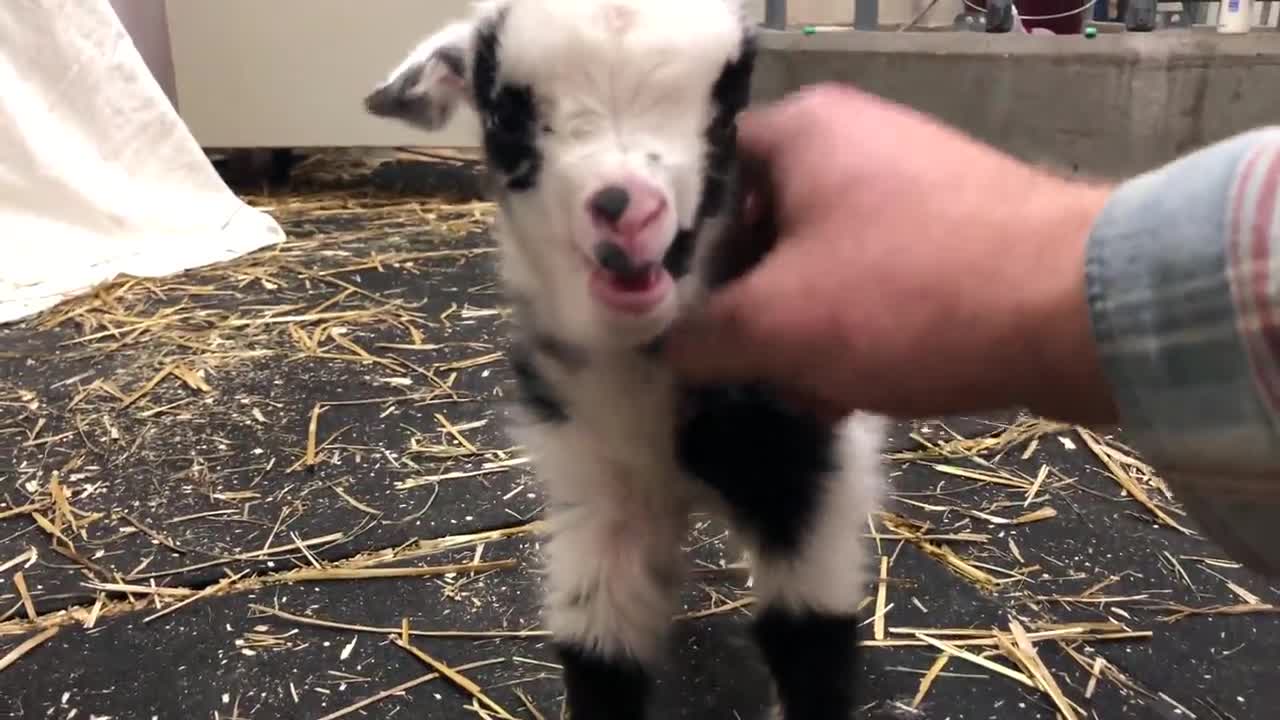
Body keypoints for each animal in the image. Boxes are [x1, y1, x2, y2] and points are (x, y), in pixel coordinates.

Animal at [366, 2, 885, 712]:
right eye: (503, 116)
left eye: (728, 106)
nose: (626, 212)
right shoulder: (599, 487)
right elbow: (600, 651)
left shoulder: (803, 470)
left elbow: (811, 642)